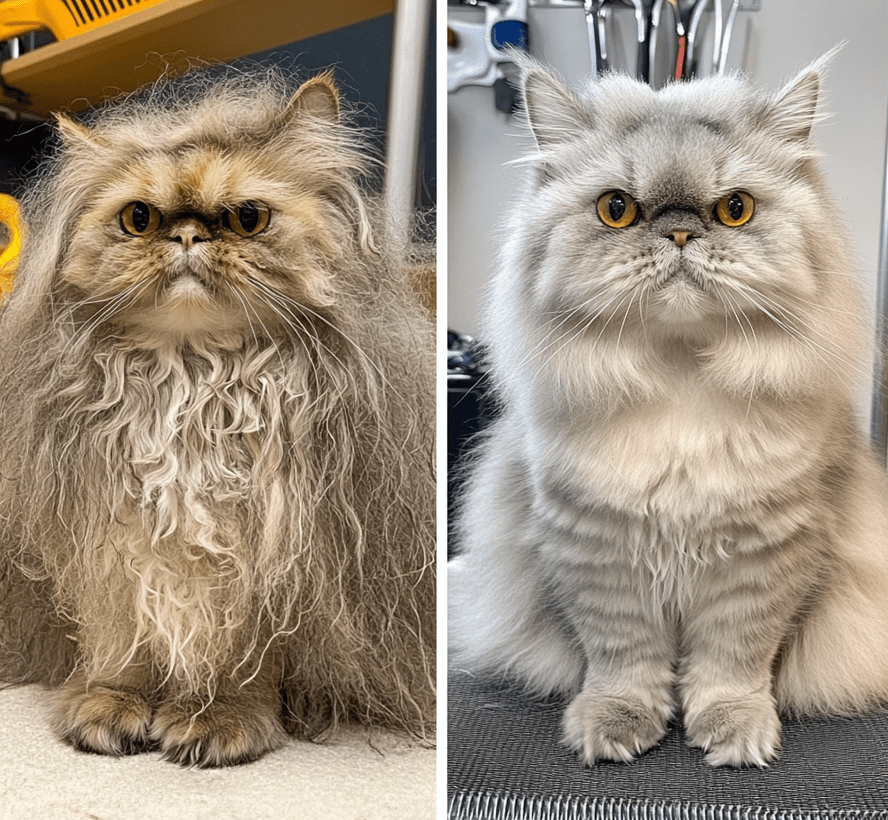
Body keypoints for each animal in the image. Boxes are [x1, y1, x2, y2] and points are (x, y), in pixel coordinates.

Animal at [0, 65, 434, 768]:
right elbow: (121, 648)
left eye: (248, 218)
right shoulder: (109, 540)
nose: (187, 234)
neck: (190, 380)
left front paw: (216, 719)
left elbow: (242, 663)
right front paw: (111, 706)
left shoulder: (275, 554)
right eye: (139, 218)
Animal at [450, 52, 888, 768]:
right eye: (616, 210)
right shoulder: (596, 558)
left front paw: (733, 734)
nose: (680, 231)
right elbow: (623, 662)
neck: (681, 380)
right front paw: (616, 726)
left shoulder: (765, 561)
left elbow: (733, 663)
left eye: (735, 209)